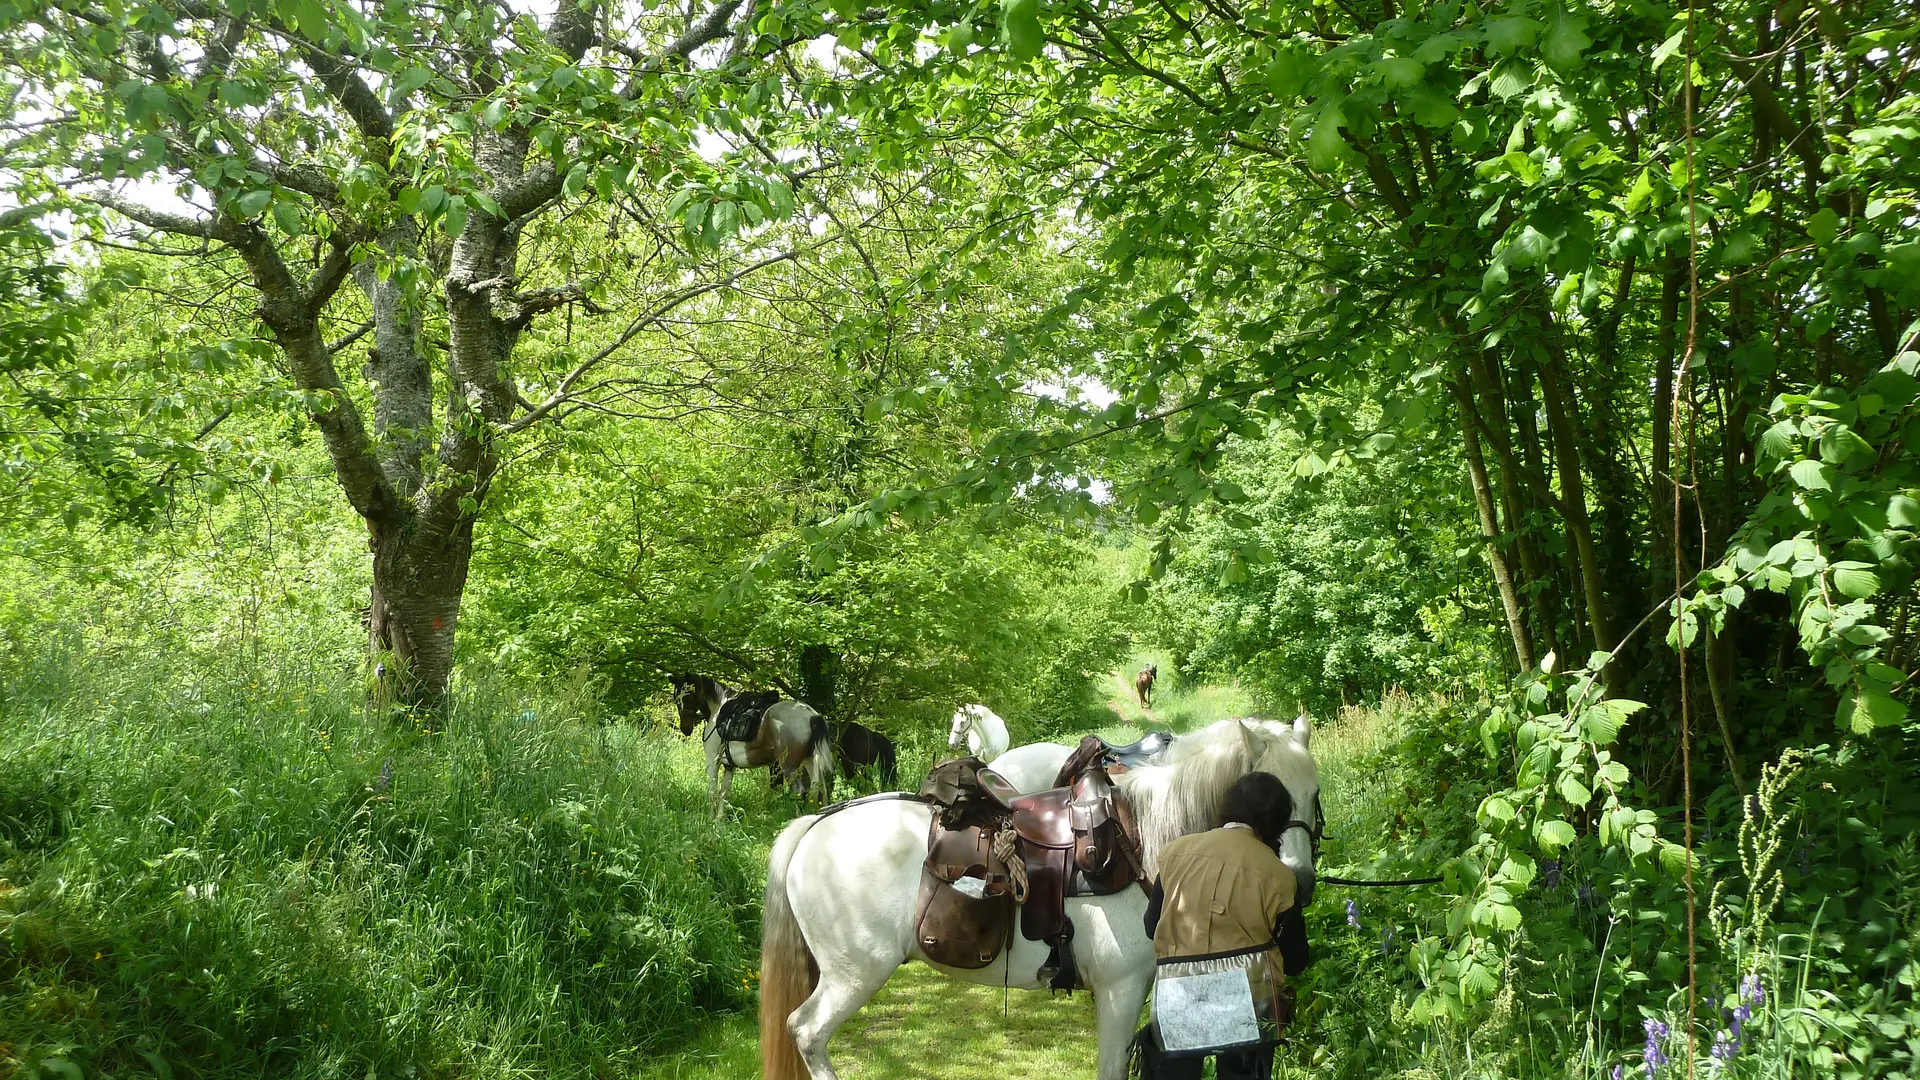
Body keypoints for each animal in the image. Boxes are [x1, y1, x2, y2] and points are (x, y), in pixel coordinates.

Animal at [760, 715, 1320, 1080]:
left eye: (1314, 794)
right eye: (1272, 801)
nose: (1300, 881)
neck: (1140, 838)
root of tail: (815, 824)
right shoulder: (1121, 990)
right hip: (853, 975)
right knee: (807, 1032)